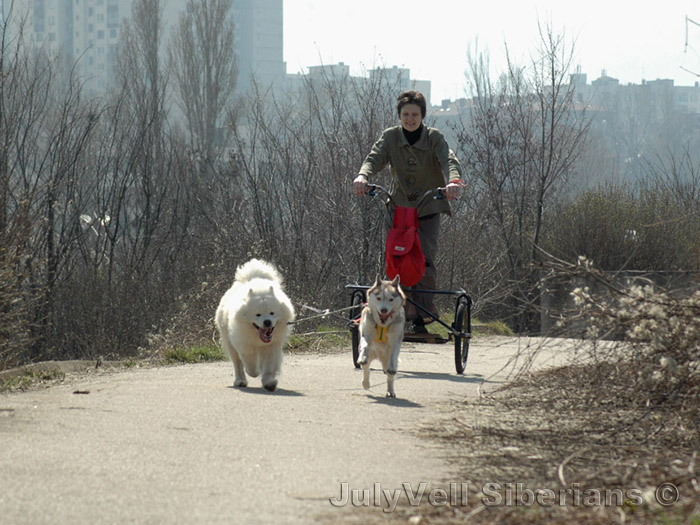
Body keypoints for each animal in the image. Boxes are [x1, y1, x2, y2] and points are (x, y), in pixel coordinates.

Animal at [215, 259, 295, 391]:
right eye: (258, 315)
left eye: (272, 313)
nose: (267, 321)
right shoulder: (244, 346)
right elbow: (250, 366)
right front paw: (255, 372)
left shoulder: (271, 347)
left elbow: (269, 366)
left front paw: (269, 383)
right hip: (229, 343)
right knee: (237, 364)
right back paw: (240, 381)